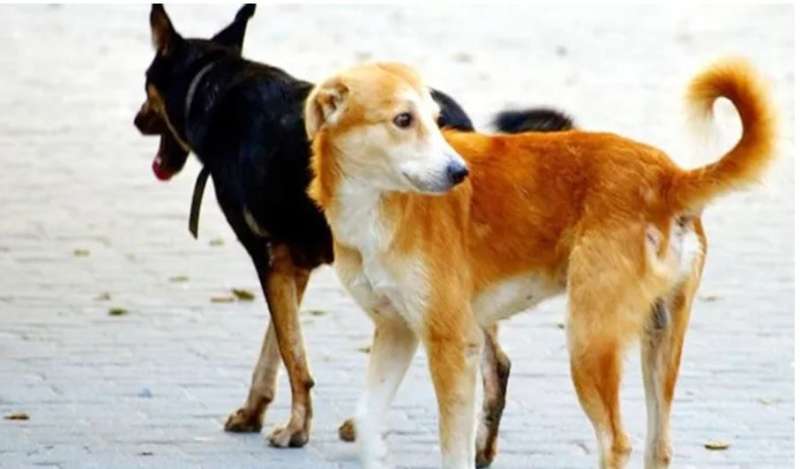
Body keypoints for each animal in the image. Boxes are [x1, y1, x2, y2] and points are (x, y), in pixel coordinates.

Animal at [133, 4, 574, 455]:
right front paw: (255, 411)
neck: (214, 85)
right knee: (496, 362)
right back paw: (481, 447)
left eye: (146, 86)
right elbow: (274, 347)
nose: (137, 120)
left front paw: (296, 428)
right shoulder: (294, 267)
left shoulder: (270, 257)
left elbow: (291, 352)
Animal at [304, 59, 775, 469]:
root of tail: (667, 178)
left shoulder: (453, 344)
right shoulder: (396, 330)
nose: (460, 173)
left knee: (616, 442)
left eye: (437, 119)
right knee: (658, 448)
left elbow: (454, 452)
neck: (379, 205)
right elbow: (367, 423)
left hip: (588, 342)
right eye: (403, 120)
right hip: (660, 338)